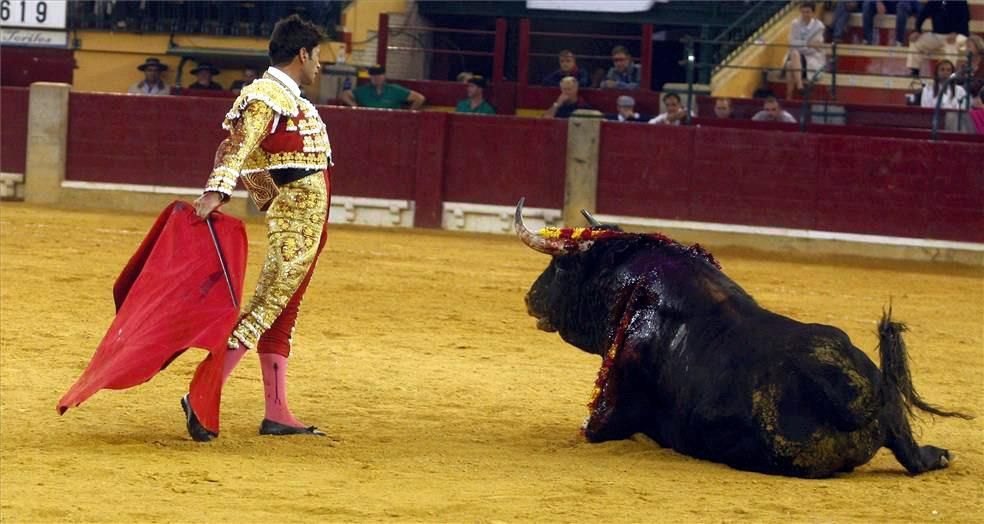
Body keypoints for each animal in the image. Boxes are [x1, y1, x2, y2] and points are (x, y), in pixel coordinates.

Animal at [516, 201, 968, 478]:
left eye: (560, 267)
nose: (529, 297)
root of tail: (851, 392)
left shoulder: (606, 417)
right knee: (916, 457)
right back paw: (940, 455)